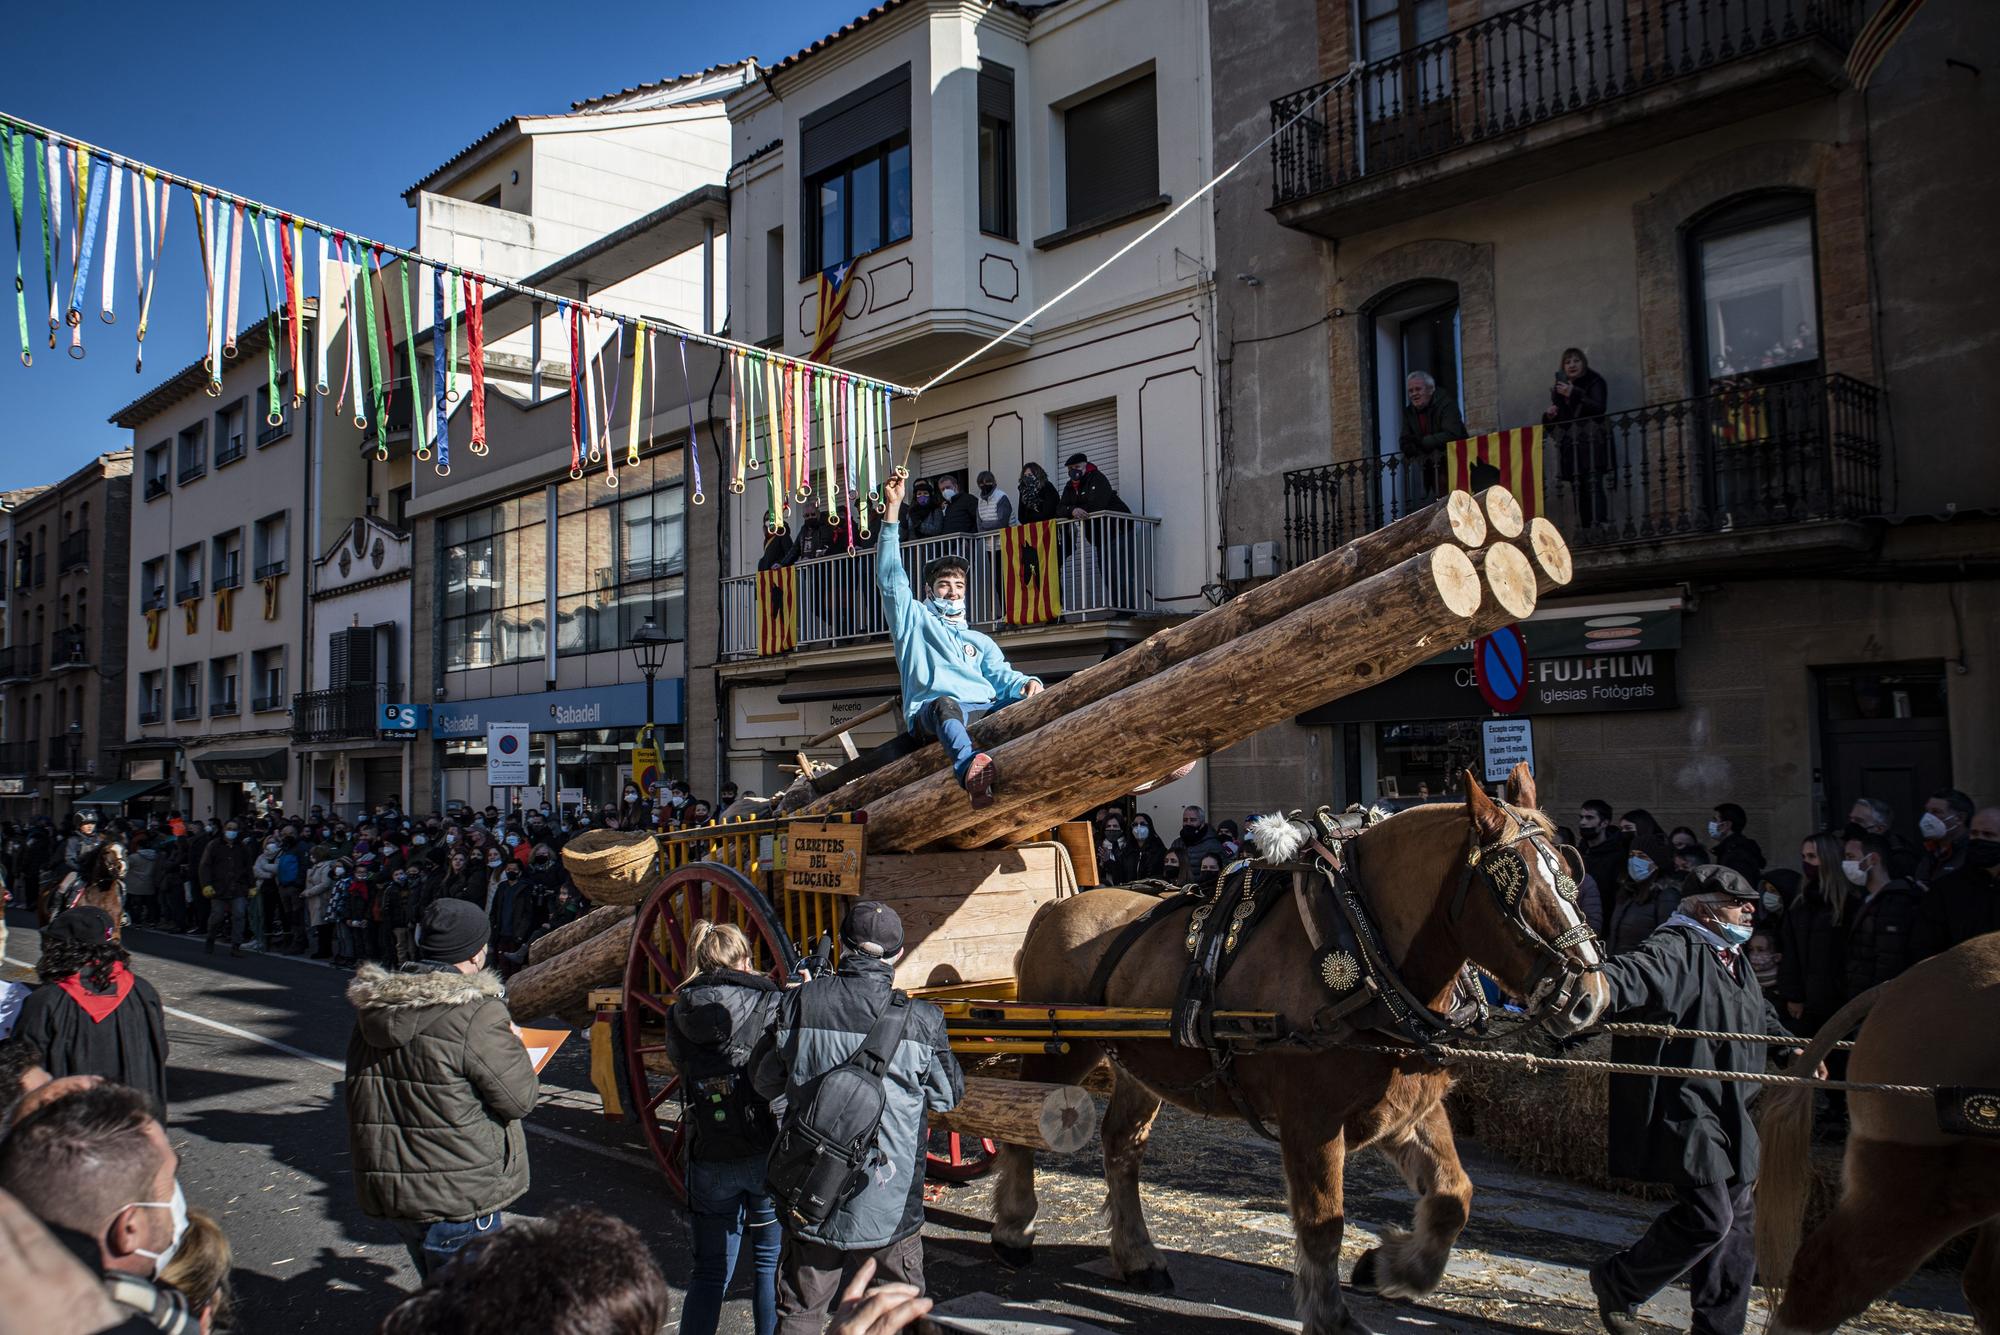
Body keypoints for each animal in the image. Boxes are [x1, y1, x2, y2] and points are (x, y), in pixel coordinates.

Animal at [996, 767, 1608, 1335]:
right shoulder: (1310, 1121)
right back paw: (1013, 1226)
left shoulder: (1407, 1107)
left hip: (1142, 1067)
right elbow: (1322, 1223)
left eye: (1571, 871)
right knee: (1017, 1124)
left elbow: (1453, 1196)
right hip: (1060, 1051)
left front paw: (1390, 1268)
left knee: (1121, 1146)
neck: (1365, 948)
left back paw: (1138, 1256)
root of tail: (1056, 908)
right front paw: (1332, 1316)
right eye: (1516, 885)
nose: (1590, 998)